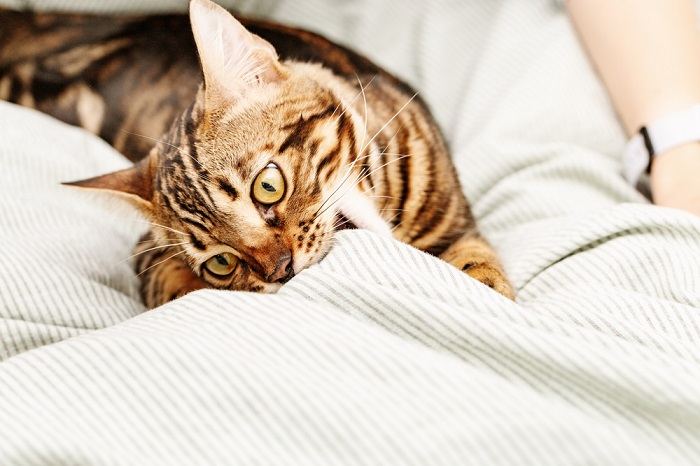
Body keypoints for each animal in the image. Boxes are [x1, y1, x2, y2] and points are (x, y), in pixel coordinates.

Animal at [0, 0, 516, 310]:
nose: (281, 271)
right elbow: (170, 285)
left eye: (268, 185)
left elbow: (475, 263)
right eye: (220, 263)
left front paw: (485, 289)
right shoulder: (146, 259)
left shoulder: (458, 222)